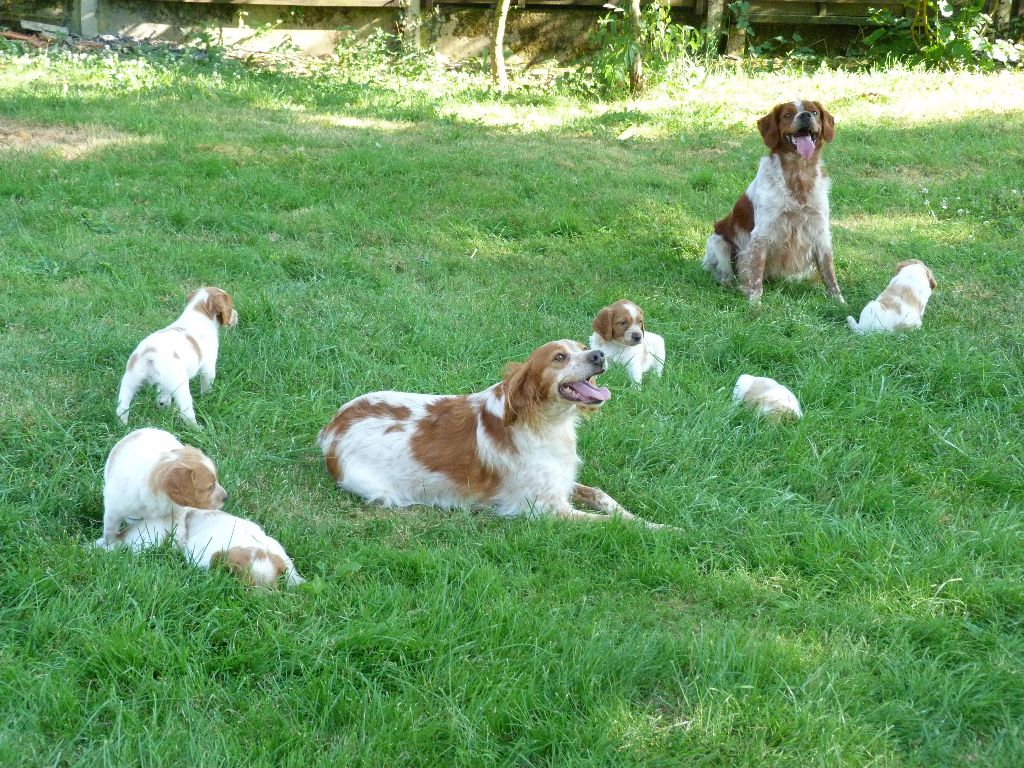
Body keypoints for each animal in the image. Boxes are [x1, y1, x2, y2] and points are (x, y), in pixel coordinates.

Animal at [115, 286, 237, 430]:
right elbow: (207, 385)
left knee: (122, 407)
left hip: (130, 381)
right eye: (231, 306)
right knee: (186, 413)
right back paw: (197, 429)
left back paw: (124, 424)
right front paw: (207, 397)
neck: (198, 312)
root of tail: (150, 354)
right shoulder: (208, 367)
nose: (237, 315)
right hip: (180, 387)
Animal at [319, 342, 671, 528]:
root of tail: (332, 428)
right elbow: (621, 524)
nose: (599, 355)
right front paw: (666, 530)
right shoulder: (547, 509)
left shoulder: (561, 484)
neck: (543, 423)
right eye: (559, 357)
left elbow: (604, 497)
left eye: (584, 349)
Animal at [700, 100, 843, 305]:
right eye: (787, 115)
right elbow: (755, 274)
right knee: (725, 272)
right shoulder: (762, 234)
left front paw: (838, 301)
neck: (798, 174)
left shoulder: (819, 230)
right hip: (718, 241)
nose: (805, 115)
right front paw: (755, 304)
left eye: (814, 112)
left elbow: (829, 271)